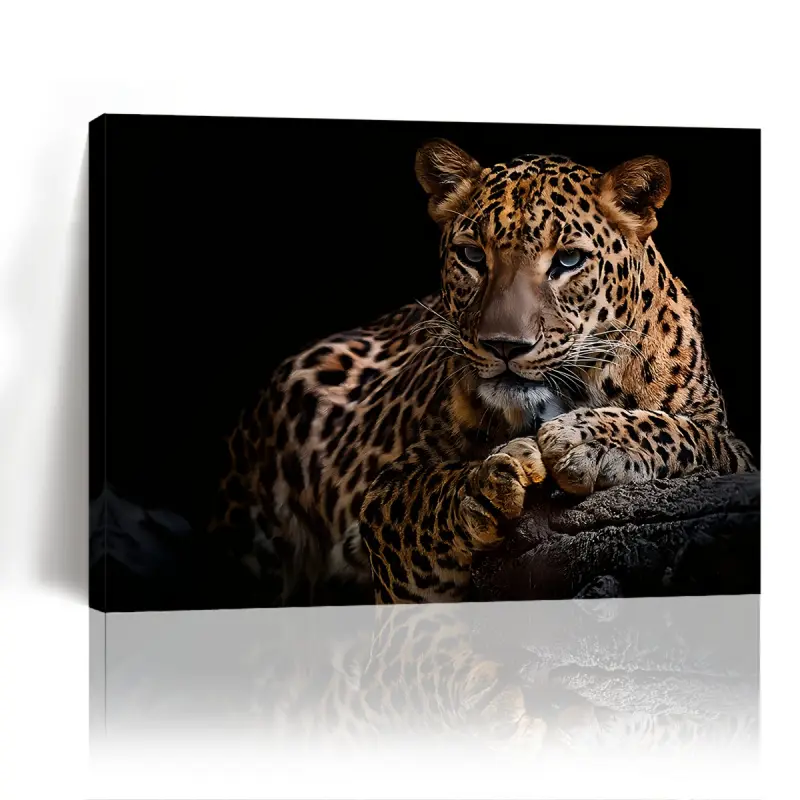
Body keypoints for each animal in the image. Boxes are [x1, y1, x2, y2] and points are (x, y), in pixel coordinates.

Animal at [208, 138, 756, 606]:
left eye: (568, 260)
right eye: (472, 256)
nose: (504, 345)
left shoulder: (731, 448)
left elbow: (679, 432)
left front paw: (585, 440)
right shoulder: (386, 498)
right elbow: (425, 496)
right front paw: (487, 485)